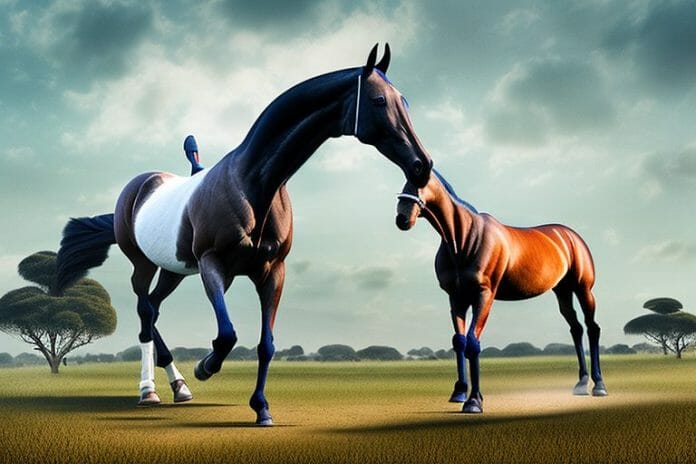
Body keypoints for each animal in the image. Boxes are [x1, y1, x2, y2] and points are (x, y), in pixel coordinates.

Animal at [55, 44, 432, 425]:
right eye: (378, 100)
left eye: (404, 101)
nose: (422, 165)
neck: (252, 183)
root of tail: (140, 185)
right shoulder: (212, 265)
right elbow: (227, 334)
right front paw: (206, 367)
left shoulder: (272, 271)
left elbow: (266, 344)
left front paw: (261, 407)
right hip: (143, 263)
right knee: (145, 312)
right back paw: (149, 391)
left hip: (174, 269)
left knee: (155, 307)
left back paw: (179, 386)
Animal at [395, 170, 607, 413]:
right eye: (406, 182)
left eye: (421, 180)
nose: (402, 218)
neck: (464, 239)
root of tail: (572, 236)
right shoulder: (456, 297)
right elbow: (460, 341)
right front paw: (459, 392)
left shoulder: (484, 294)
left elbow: (473, 342)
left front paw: (474, 402)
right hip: (562, 291)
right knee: (576, 329)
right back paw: (581, 383)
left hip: (583, 288)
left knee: (592, 328)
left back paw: (599, 385)